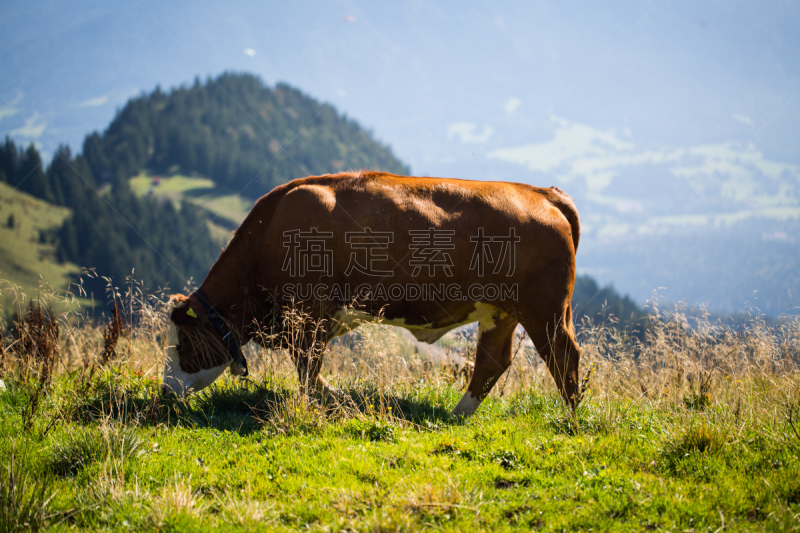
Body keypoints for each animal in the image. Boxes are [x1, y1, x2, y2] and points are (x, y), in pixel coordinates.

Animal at [162, 171, 580, 416]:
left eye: (183, 342)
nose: (166, 390)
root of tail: (542, 192)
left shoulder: (309, 315)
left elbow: (307, 368)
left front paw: (317, 404)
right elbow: (310, 369)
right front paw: (335, 398)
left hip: (544, 310)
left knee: (564, 356)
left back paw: (572, 420)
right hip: (501, 312)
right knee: (493, 361)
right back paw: (455, 415)